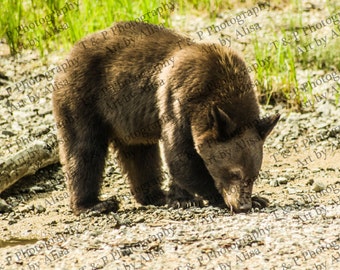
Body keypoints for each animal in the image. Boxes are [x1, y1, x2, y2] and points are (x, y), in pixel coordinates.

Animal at [51, 21, 278, 215]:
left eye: (253, 175)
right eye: (234, 173)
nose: (243, 204)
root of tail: (71, 52)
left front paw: (257, 199)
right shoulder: (178, 101)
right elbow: (181, 156)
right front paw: (203, 197)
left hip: (128, 121)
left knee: (140, 154)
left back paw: (155, 196)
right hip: (82, 97)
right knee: (84, 149)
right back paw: (94, 205)